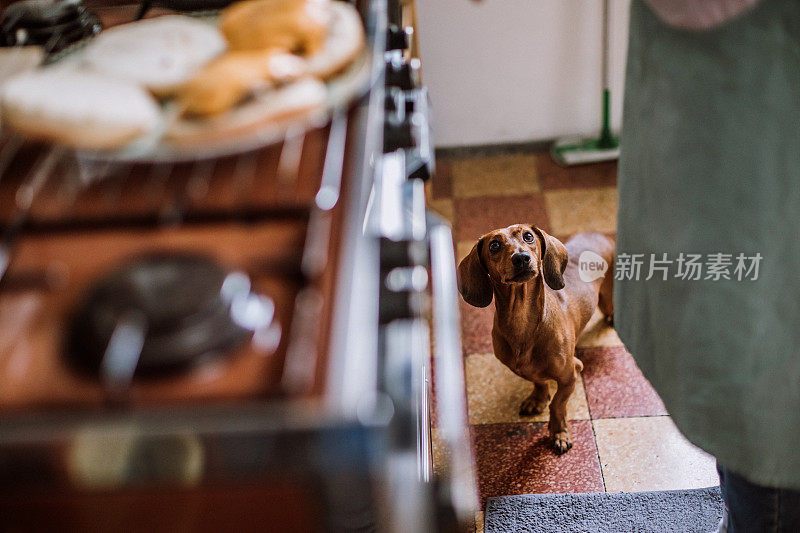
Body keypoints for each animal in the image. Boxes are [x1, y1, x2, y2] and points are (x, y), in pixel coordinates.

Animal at [456, 224, 612, 454]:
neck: (522, 322)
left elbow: (557, 405)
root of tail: (598, 234)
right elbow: (538, 381)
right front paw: (538, 399)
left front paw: (559, 433)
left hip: (607, 300)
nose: (521, 258)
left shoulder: (571, 374)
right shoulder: (520, 368)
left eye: (528, 236)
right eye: (494, 245)